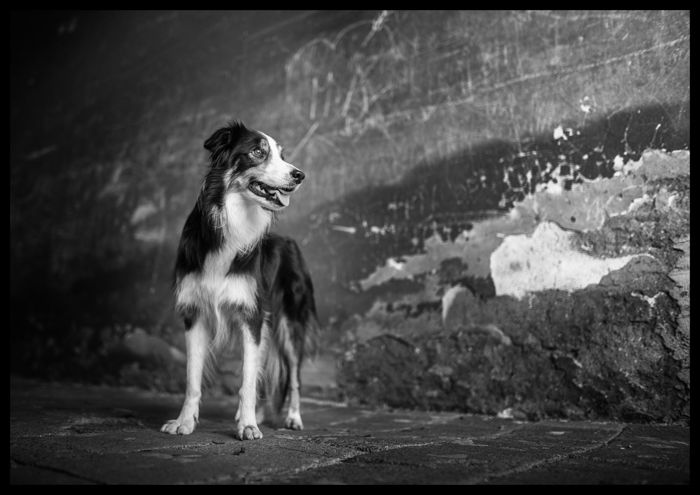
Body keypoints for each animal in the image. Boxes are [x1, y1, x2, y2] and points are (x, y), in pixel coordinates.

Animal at [161, 121, 318, 442]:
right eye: (258, 152)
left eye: (282, 155)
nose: (300, 175)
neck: (231, 221)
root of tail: (291, 242)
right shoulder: (194, 313)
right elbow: (192, 379)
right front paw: (184, 422)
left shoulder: (251, 316)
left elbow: (247, 379)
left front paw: (247, 425)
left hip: (290, 322)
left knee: (293, 376)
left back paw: (292, 418)